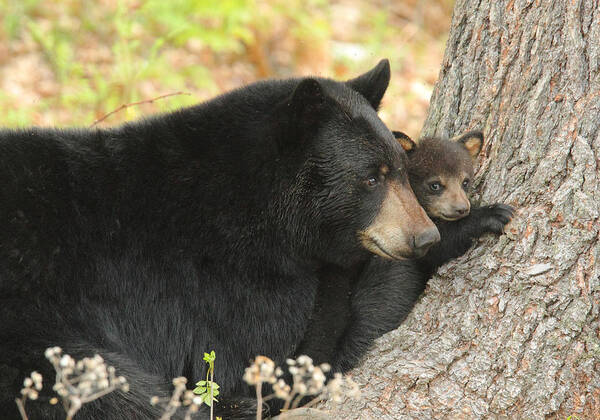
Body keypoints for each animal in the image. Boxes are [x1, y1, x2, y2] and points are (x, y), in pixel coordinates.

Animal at [302, 130, 512, 370]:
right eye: (435, 185)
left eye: (465, 182)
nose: (462, 208)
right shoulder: (402, 232)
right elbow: (438, 244)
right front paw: (493, 214)